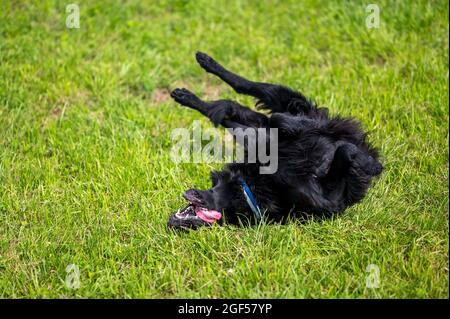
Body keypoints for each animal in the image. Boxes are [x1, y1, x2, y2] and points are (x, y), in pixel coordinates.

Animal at [167, 52, 382, 230]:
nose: (170, 223)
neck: (249, 191)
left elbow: (282, 122)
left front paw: (369, 163)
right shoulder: (328, 198)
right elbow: (345, 151)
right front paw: (367, 162)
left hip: (284, 99)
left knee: (245, 90)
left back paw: (201, 68)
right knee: (234, 107)